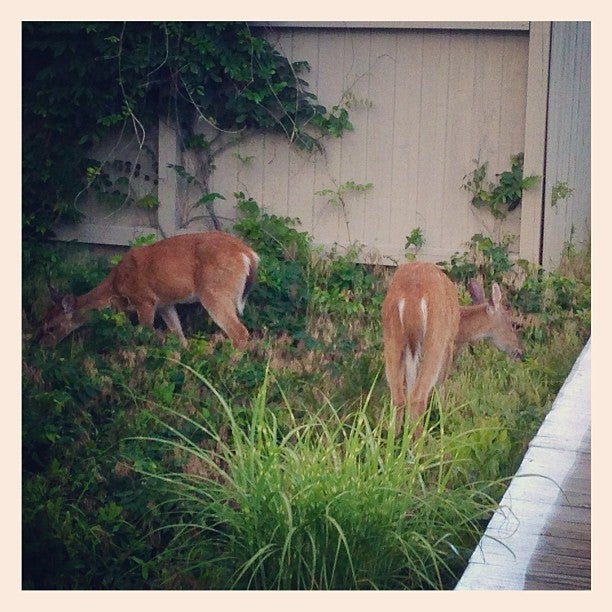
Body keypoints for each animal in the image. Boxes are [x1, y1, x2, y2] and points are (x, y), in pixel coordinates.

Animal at [38, 230, 258, 352]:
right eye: (43, 323)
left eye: (52, 327)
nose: (43, 346)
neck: (115, 286)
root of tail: (248, 254)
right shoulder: (165, 304)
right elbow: (179, 336)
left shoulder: (144, 300)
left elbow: (144, 335)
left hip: (215, 292)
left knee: (239, 333)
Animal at [382, 260, 520, 438]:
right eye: (512, 324)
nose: (520, 352)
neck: (460, 320)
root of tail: (411, 296)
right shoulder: (449, 343)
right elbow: (441, 385)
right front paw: (444, 417)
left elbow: (410, 384)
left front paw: (407, 429)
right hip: (435, 339)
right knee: (418, 396)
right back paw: (421, 441)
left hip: (392, 338)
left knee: (399, 396)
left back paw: (395, 438)